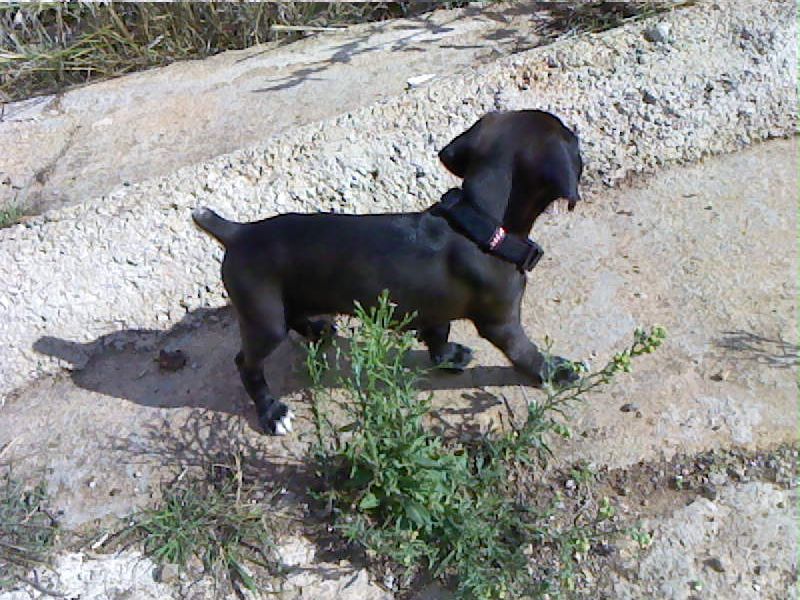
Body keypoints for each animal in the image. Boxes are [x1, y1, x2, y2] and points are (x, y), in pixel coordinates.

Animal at [192, 109, 580, 436]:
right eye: (571, 137)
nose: (579, 137)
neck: (480, 225)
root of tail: (238, 233)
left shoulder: (435, 305)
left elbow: (438, 332)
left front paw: (446, 357)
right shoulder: (501, 321)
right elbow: (525, 353)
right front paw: (555, 371)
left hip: (291, 297)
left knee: (295, 316)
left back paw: (317, 329)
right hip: (264, 319)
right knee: (247, 364)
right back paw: (272, 412)